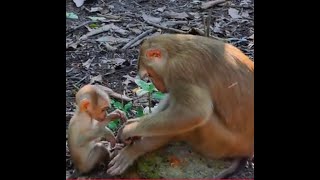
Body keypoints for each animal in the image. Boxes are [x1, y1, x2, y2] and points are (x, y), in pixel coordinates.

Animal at [109, 33, 254, 179]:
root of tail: (248, 151)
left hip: (221, 144)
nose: (158, 87)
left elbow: (194, 113)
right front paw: (136, 122)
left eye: (150, 74)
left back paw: (136, 149)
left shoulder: (179, 71)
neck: (174, 53)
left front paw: (130, 131)